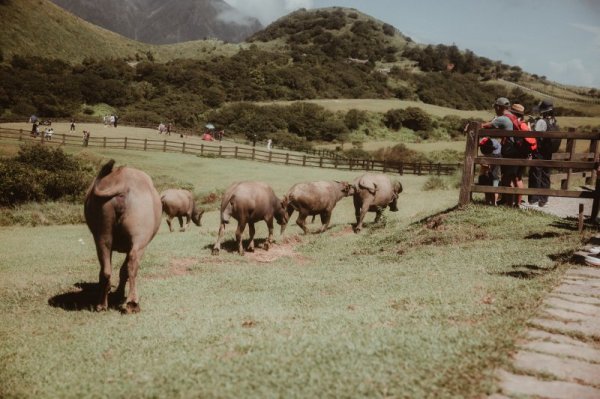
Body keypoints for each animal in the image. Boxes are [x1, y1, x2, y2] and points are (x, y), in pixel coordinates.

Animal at [83, 161, 162, 314]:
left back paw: (101, 304)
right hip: (140, 239)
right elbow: (124, 270)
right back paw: (132, 303)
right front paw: (119, 293)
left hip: (102, 233)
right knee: (132, 263)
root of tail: (122, 184)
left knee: (106, 269)